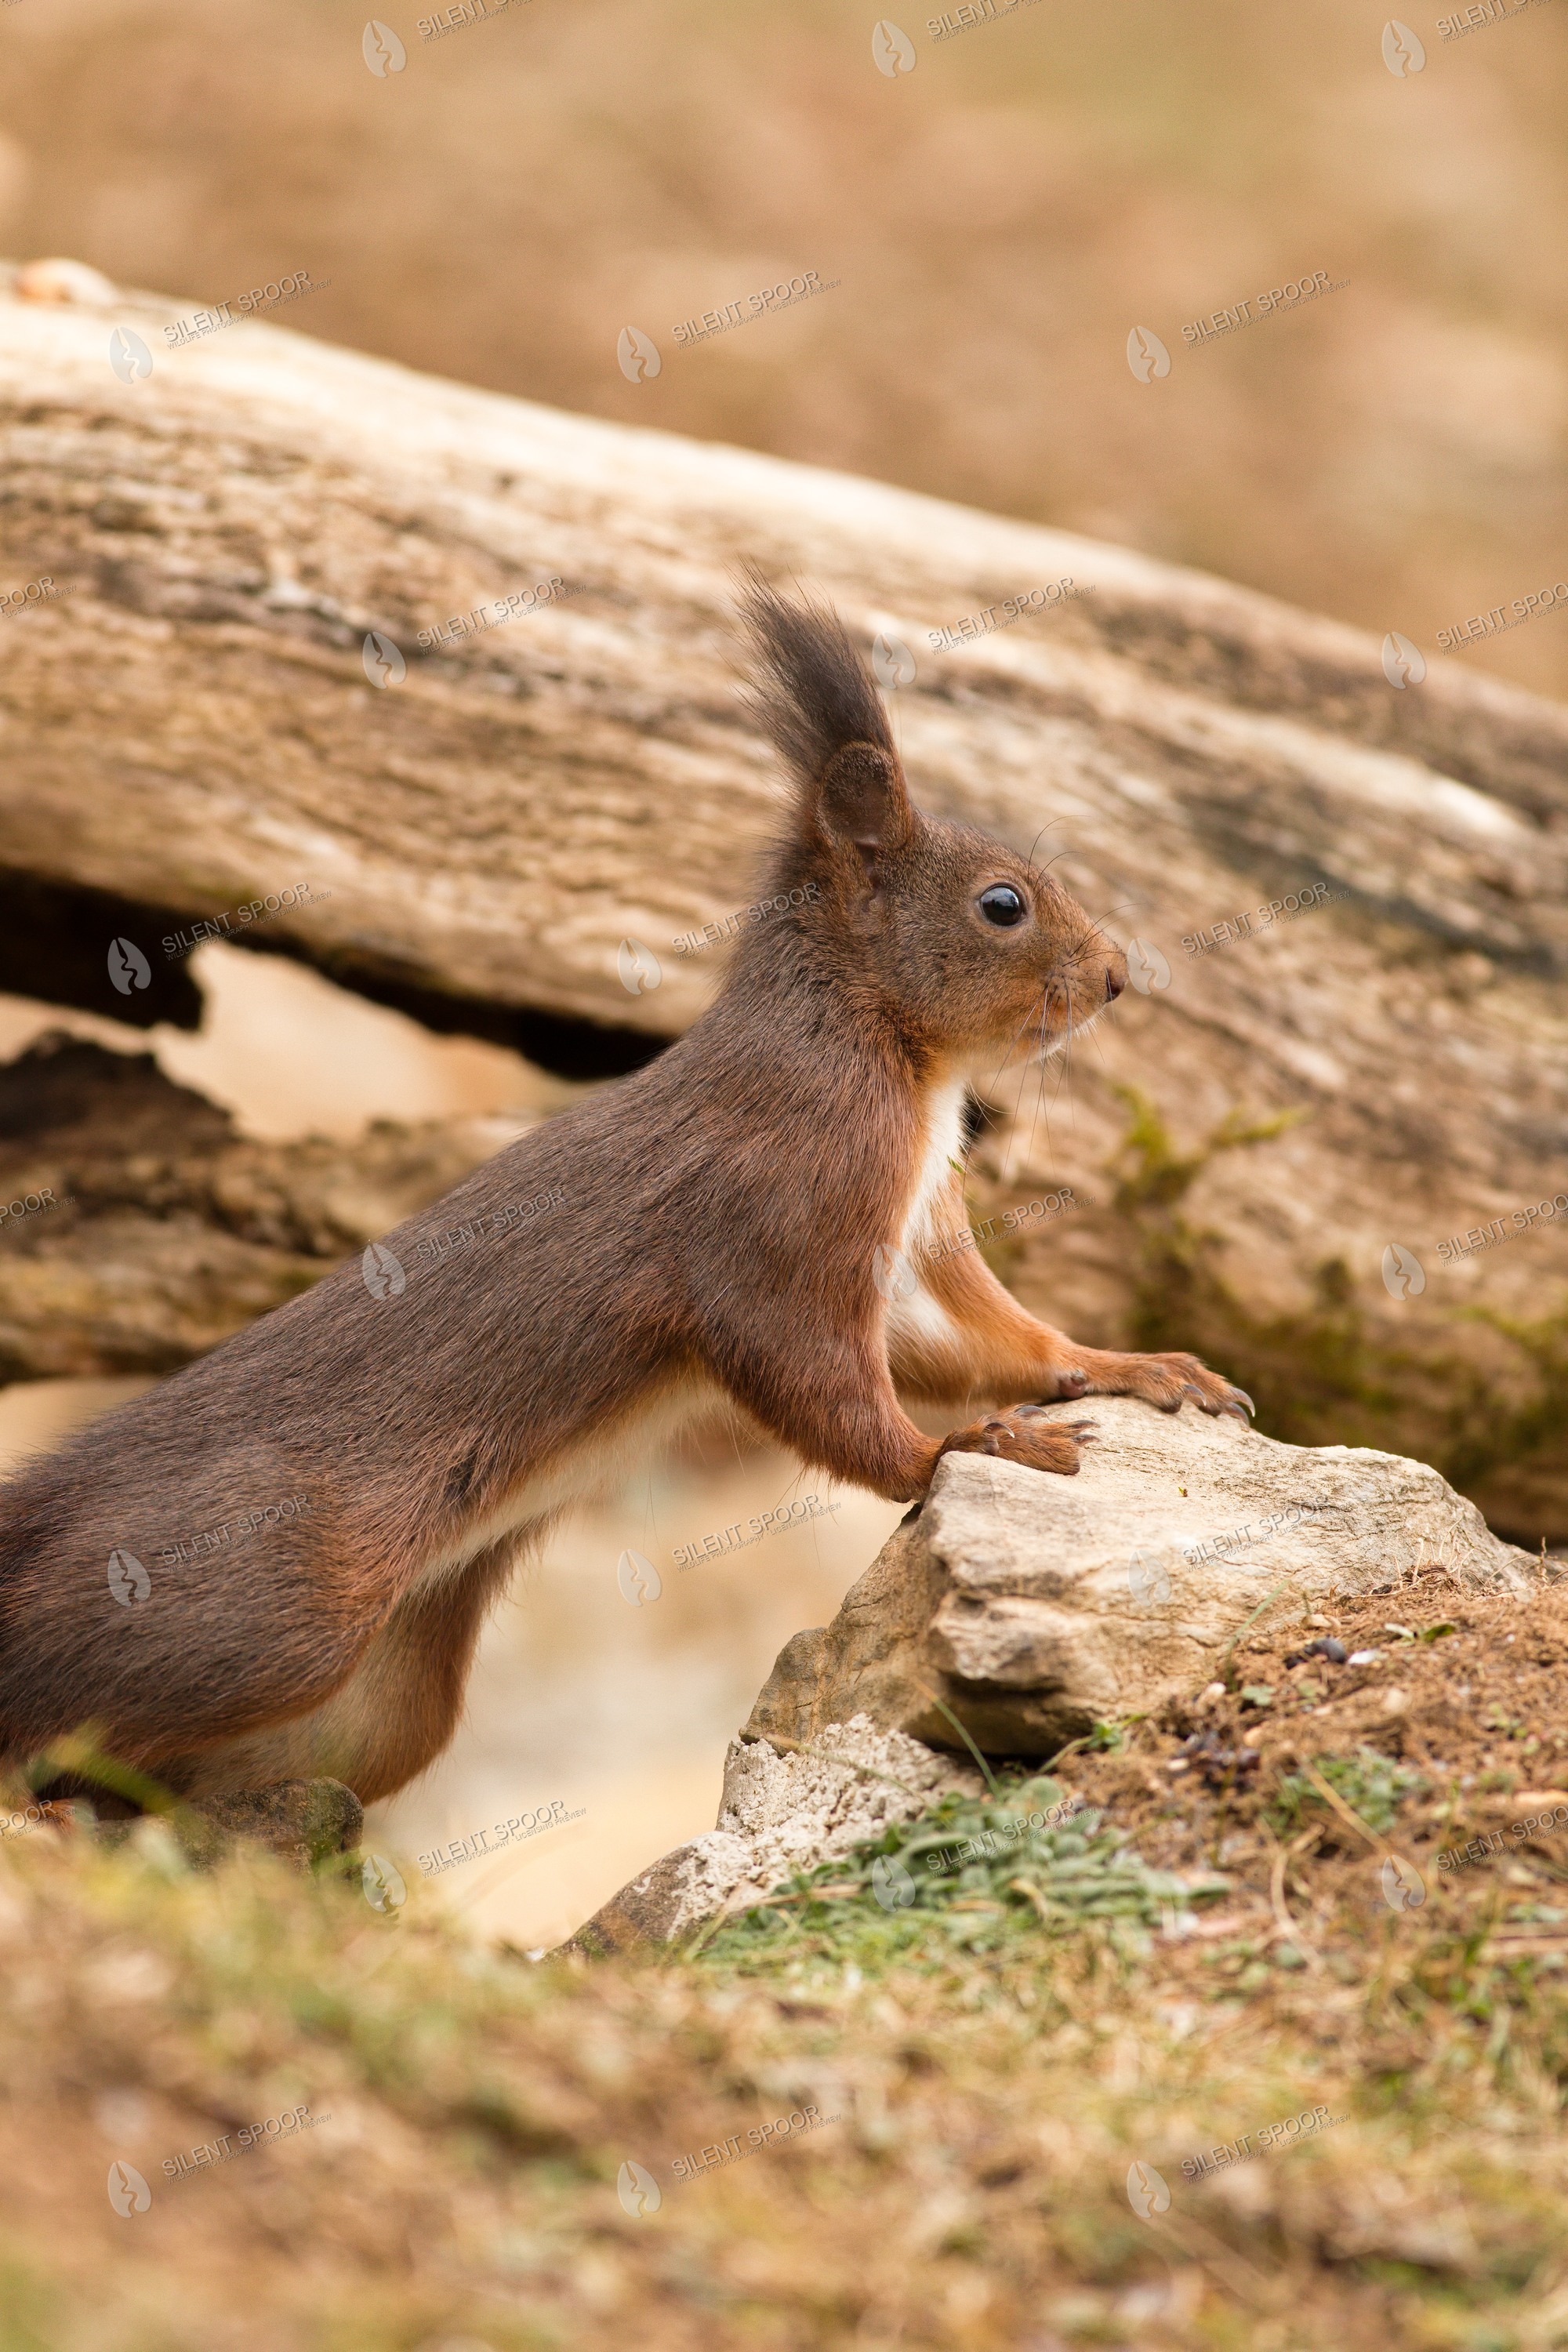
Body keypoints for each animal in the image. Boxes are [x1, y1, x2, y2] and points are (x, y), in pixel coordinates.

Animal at [0, 581, 1252, 1808]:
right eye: (1002, 904)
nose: (1117, 980)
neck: (895, 1064)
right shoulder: (776, 1222)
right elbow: (818, 1379)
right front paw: (960, 1449)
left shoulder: (912, 1256)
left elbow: (997, 1341)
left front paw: (1141, 1369)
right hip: (268, 1603)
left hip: (379, 1704)